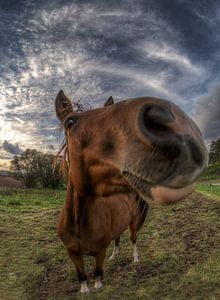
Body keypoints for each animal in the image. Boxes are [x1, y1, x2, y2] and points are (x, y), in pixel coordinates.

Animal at [55, 91, 208, 292]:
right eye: (69, 122)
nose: (179, 125)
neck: (79, 222)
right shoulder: (72, 252)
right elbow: (82, 276)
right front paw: (84, 289)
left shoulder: (100, 251)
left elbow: (97, 273)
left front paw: (98, 285)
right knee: (118, 239)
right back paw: (115, 256)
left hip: (134, 223)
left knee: (133, 239)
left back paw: (135, 259)